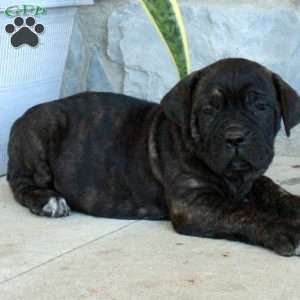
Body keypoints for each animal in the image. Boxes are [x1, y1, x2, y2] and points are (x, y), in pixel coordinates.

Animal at [5, 58, 300, 255]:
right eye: (208, 110)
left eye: (260, 107)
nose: (235, 137)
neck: (235, 178)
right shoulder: (194, 204)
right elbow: (243, 212)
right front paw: (284, 228)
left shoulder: (252, 176)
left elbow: (273, 189)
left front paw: (292, 206)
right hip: (42, 129)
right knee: (21, 184)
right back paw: (49, 201)